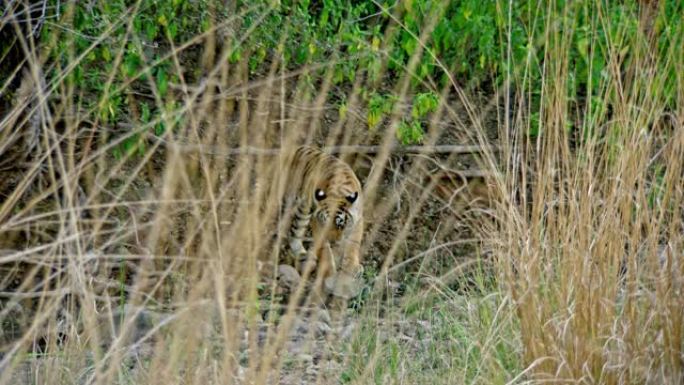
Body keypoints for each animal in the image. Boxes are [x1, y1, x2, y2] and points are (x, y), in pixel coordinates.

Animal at [280, 146, 364, 298]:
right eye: (325, 224)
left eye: (340, 225)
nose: (333, 241)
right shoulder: (316, 221)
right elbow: (325, 250)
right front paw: (329, 273)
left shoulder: (358, 219)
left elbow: (353, 244)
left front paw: (352, 267)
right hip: (297, 204)